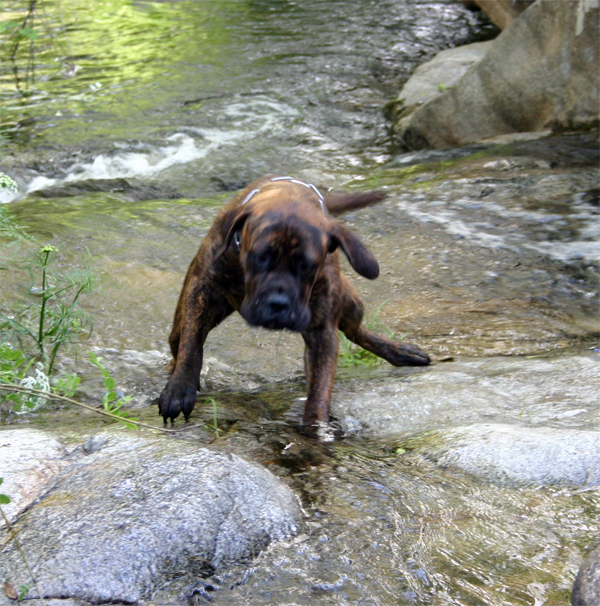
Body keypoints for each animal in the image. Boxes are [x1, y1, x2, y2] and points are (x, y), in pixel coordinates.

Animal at [159, 178, 432, 440]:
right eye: (259, 258)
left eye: (308, 266)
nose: (278, 303)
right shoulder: (202, 288)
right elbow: (192, 344)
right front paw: (180, 388)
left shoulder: (322, 331)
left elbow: (320, 388)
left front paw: (317, 429)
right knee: (179, 340)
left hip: (351, 303)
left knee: (356, 332)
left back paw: (400, 351)